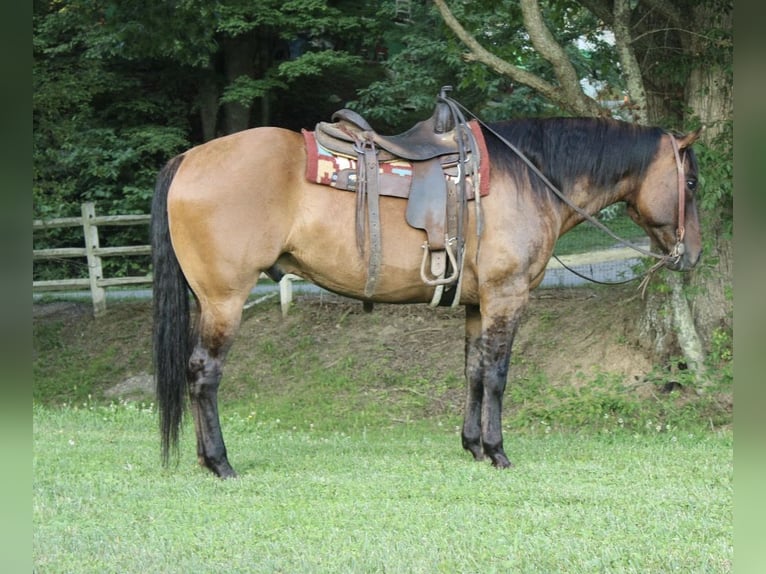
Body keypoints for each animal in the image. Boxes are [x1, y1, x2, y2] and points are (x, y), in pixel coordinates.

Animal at [151, 112, 701, 478]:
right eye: (691, 182)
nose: (692, 254)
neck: (528, 177)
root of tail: (188, 158)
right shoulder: (506, 298)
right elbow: (498, 376)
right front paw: (497, 452)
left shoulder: (478, 305)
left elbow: (475, 372)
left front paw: (473, 446)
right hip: (225, 300)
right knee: (204, 373)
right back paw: (220, 462)